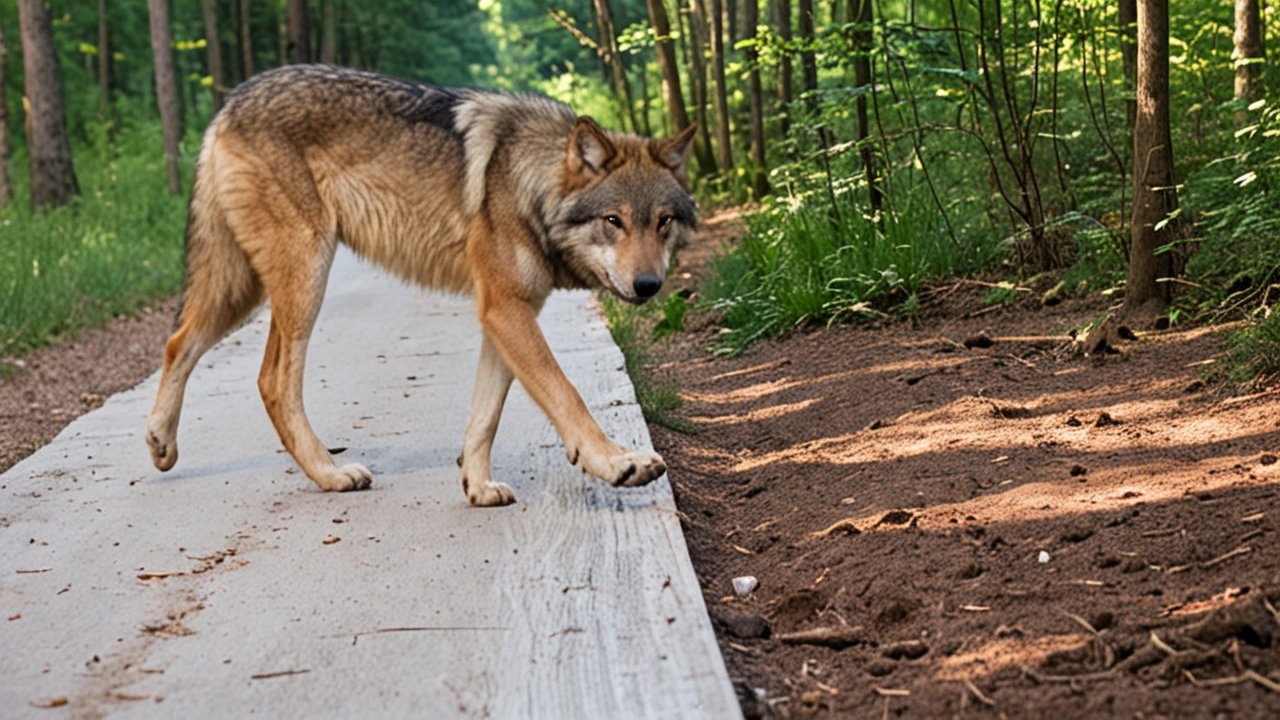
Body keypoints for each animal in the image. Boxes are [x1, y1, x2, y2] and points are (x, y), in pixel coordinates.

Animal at [144, 67, 696, 504]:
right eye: (613, 221)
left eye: (663, 222)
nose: (649, 285)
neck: (530, 182)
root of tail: (232, 101)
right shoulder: (506, 310)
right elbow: (567, 394)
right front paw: (616, 461)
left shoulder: (506, 315)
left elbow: (484, 418)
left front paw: (478, 488)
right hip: (305, 278)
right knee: (272, 381)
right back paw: (331, 474)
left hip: (245, 290)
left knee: (178, 342)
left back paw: (160, 443)